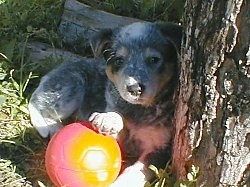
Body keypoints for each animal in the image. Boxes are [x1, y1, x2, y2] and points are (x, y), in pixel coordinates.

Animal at [28, 21, 182, 186]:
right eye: (119, 60)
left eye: (154, 59)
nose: (134, 88)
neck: (138, 111)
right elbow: (115, 117)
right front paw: (108, 119)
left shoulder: (161, 147)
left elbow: (136, 172)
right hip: (72, 86)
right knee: (37, 103)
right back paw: (52, 128)